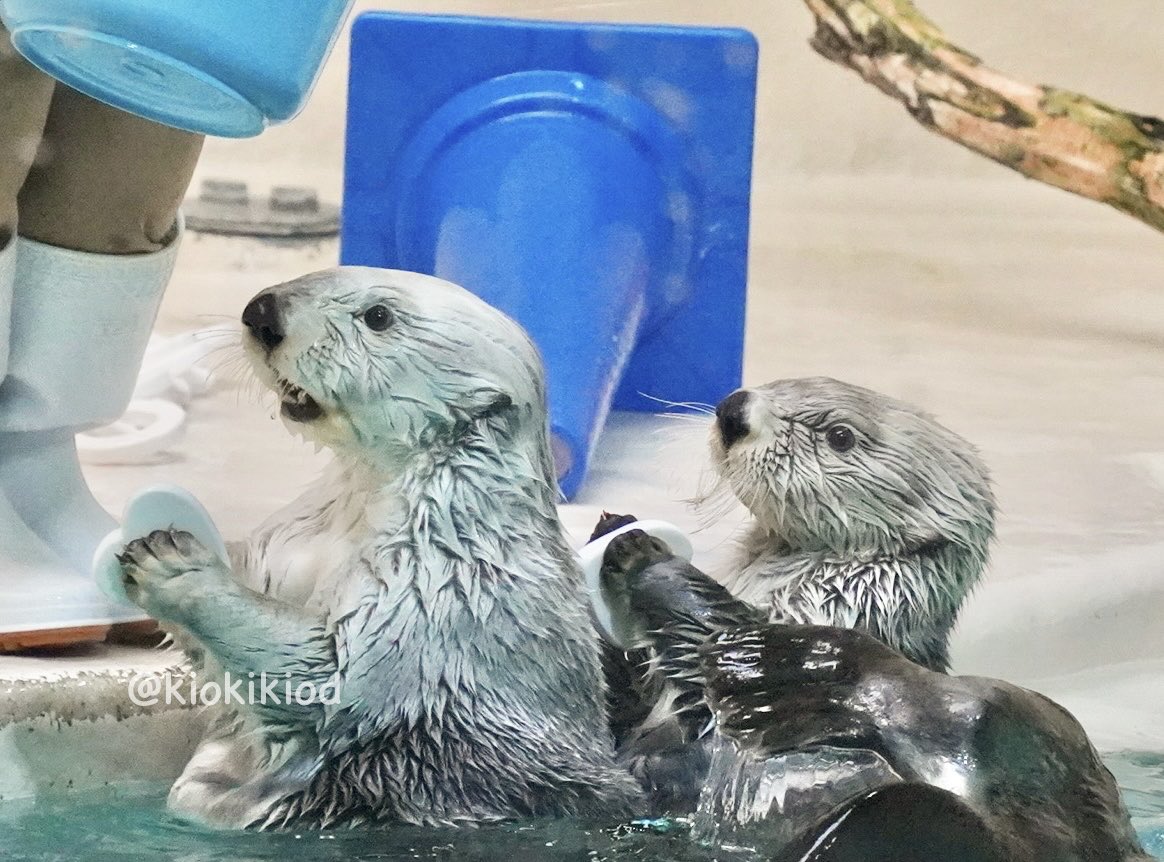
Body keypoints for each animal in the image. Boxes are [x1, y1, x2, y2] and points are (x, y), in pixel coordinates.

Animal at [115, 266, 642, 829]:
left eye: (378, 316)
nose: (262, 312)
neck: (361, 504)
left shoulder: (437, 585)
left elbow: (324, 676)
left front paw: (175, 566)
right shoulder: (286, 543)